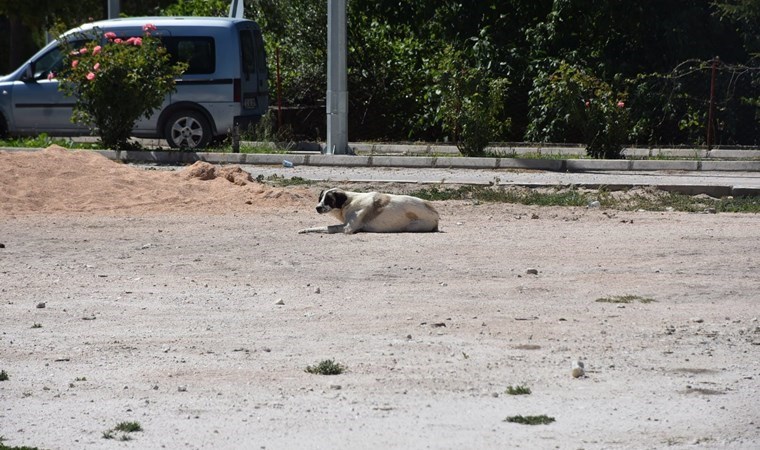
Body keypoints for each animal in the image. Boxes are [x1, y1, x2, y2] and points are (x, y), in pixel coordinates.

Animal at [296, 188, 440, 234]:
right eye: (320, 198)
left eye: (329, 200)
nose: (317, 208)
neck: (348, 203)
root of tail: (436, 213)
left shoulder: (347, 228)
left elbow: (326, 227)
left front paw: (305, 230)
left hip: (411, 226)